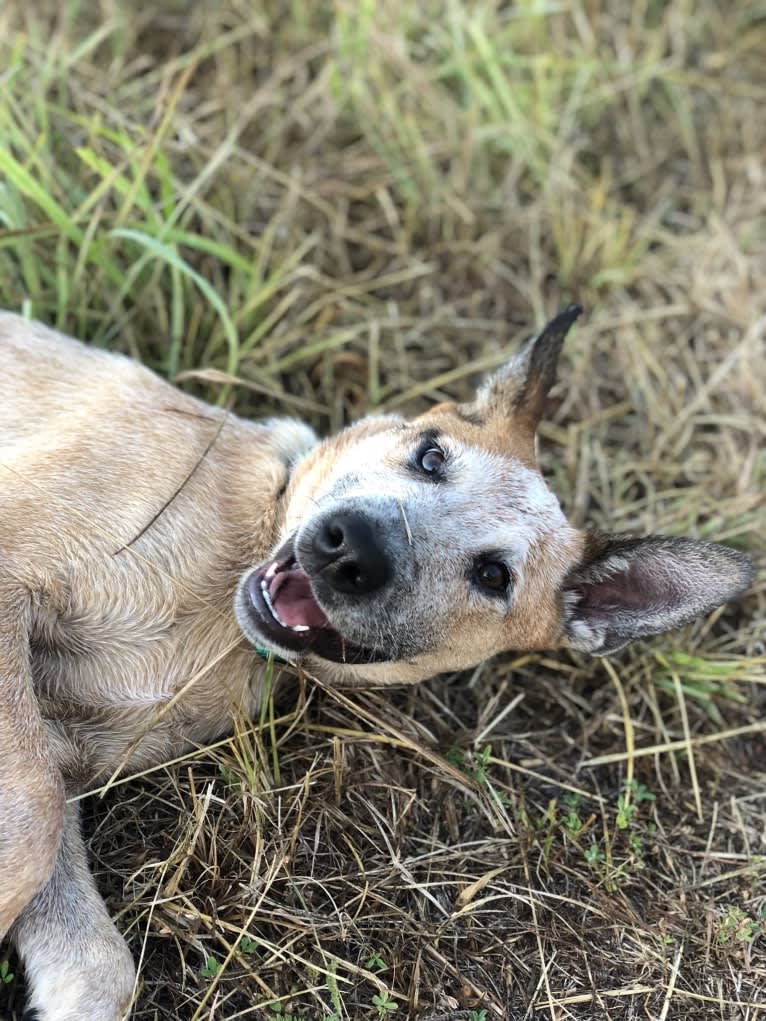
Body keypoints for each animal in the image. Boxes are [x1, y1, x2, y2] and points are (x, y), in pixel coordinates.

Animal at [0, 304, 755, 1021]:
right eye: (430, 456)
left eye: (494, 576)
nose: (350, 548)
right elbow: (35, 823)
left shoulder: (59, 760)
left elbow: (96, 960)